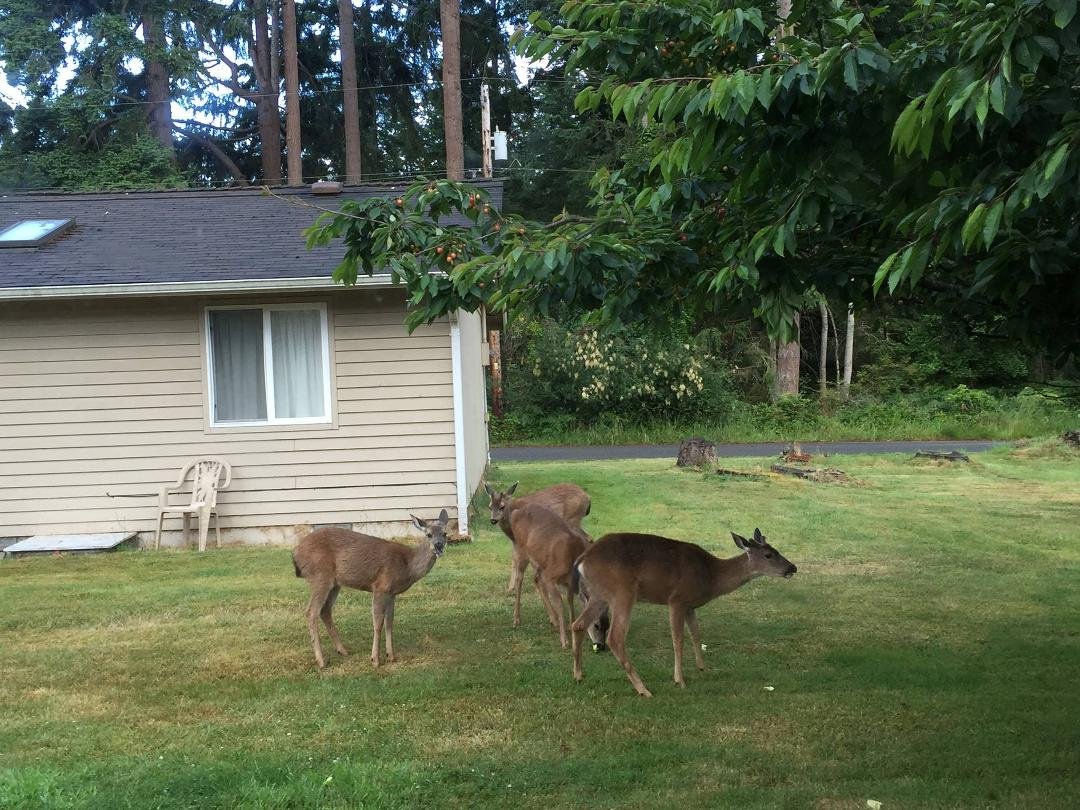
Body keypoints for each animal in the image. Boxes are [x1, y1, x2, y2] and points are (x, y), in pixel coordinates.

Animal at [292, 509, 450, 670]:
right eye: (428, 534)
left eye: (445, 533)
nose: (438, 546)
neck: (407, 565)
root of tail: (295, 552)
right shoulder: (380, 587)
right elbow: (378, 623)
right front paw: (375, 659)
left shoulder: (392, 593)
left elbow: (389, 622)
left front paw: (391, 656)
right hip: (320, 576)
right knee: (311, 612)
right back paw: (321, 661)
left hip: (335, 583)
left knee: (325, 610)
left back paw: (342, 650)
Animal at [484, 481, 591, 625]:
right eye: (490, 506)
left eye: (502, 506)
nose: (493, 520)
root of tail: (587, 497)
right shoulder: (521, 544)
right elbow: (515, 560)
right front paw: (510, 588)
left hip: (573, 519)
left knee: (587, 538)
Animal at [508, 503, 611, 649]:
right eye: (596, 625)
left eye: (608, 625)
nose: (601, 646)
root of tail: (516, 512)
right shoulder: (551, 577)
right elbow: (560, 605)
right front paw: (564, 641)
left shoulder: (568, 583)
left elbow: (570, 602)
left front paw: (571, 628)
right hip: (521, 550)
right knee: (519, 579)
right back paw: (517, 619)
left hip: (541, 560)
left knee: (536, 579)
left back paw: (553, 620)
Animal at [569, 528, 797, 697]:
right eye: (768, 555)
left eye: (777, 550)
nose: (793, 568)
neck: (711, 576)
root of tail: (582, 559)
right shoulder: (677, 600)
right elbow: (678, 640)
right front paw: (680, 680)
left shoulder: (690, 606)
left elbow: (696, 634)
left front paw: (703, 668)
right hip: (622, 591)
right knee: (615, 637)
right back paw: (644, 690)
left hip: (600, 594)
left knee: (578, 624)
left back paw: (578, 676)